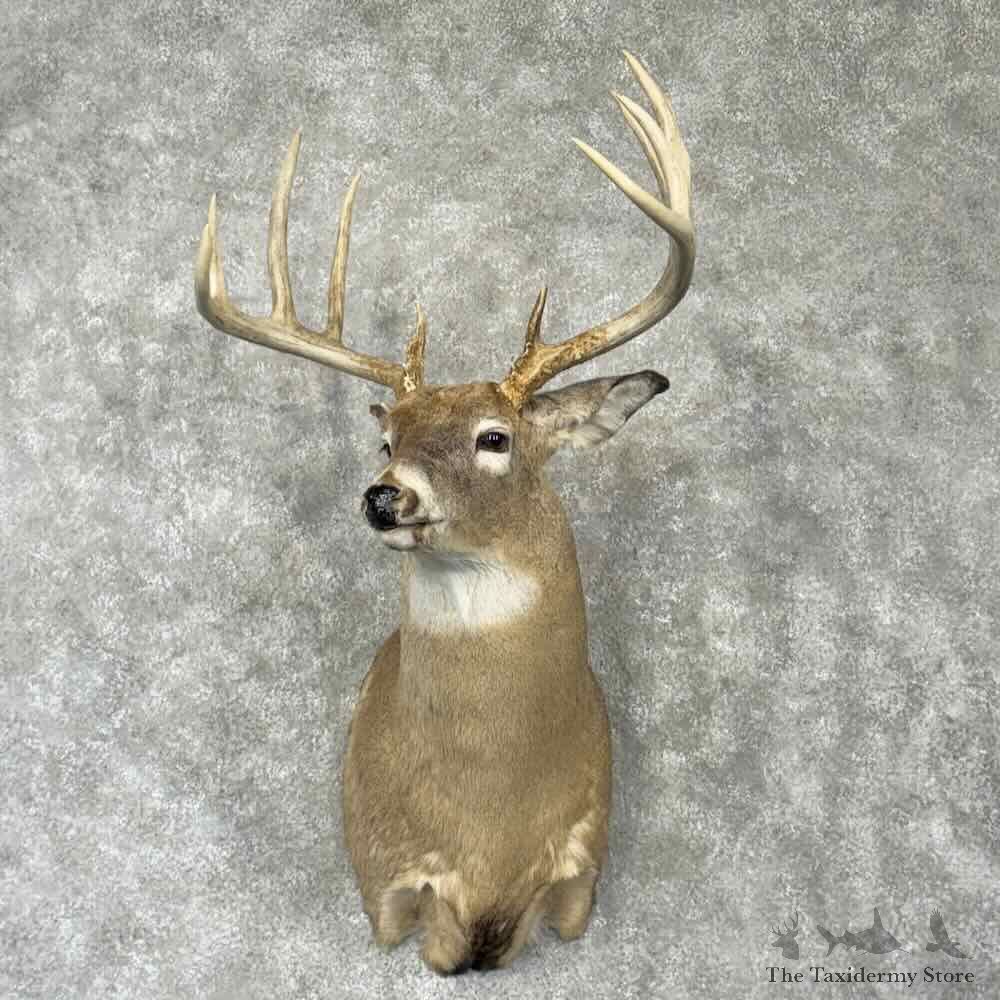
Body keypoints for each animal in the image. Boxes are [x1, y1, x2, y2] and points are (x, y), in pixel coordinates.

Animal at [193, 51, 695, 974]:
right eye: (385, 438)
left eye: (495, 436)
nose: (384, 494)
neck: (488, 827)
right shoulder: (389, 879)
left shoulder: (580, 871)